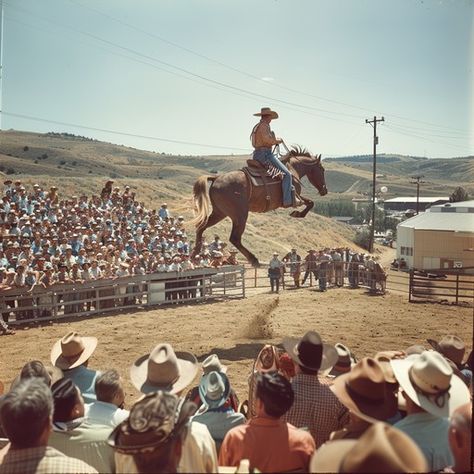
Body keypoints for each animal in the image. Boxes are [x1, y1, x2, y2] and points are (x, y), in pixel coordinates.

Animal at [191, 146, 328, 266]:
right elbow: (309, 203)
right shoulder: (294, 198)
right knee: (235, 238)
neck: (292, 169)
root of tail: (216, 178)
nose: (324, 190)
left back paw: (195, 255)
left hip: (219, 213)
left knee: (201, 227)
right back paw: (254, 259)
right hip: (240, 215)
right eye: (322, 169)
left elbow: (310, 202)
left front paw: (297, 214)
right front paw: (298, 213)